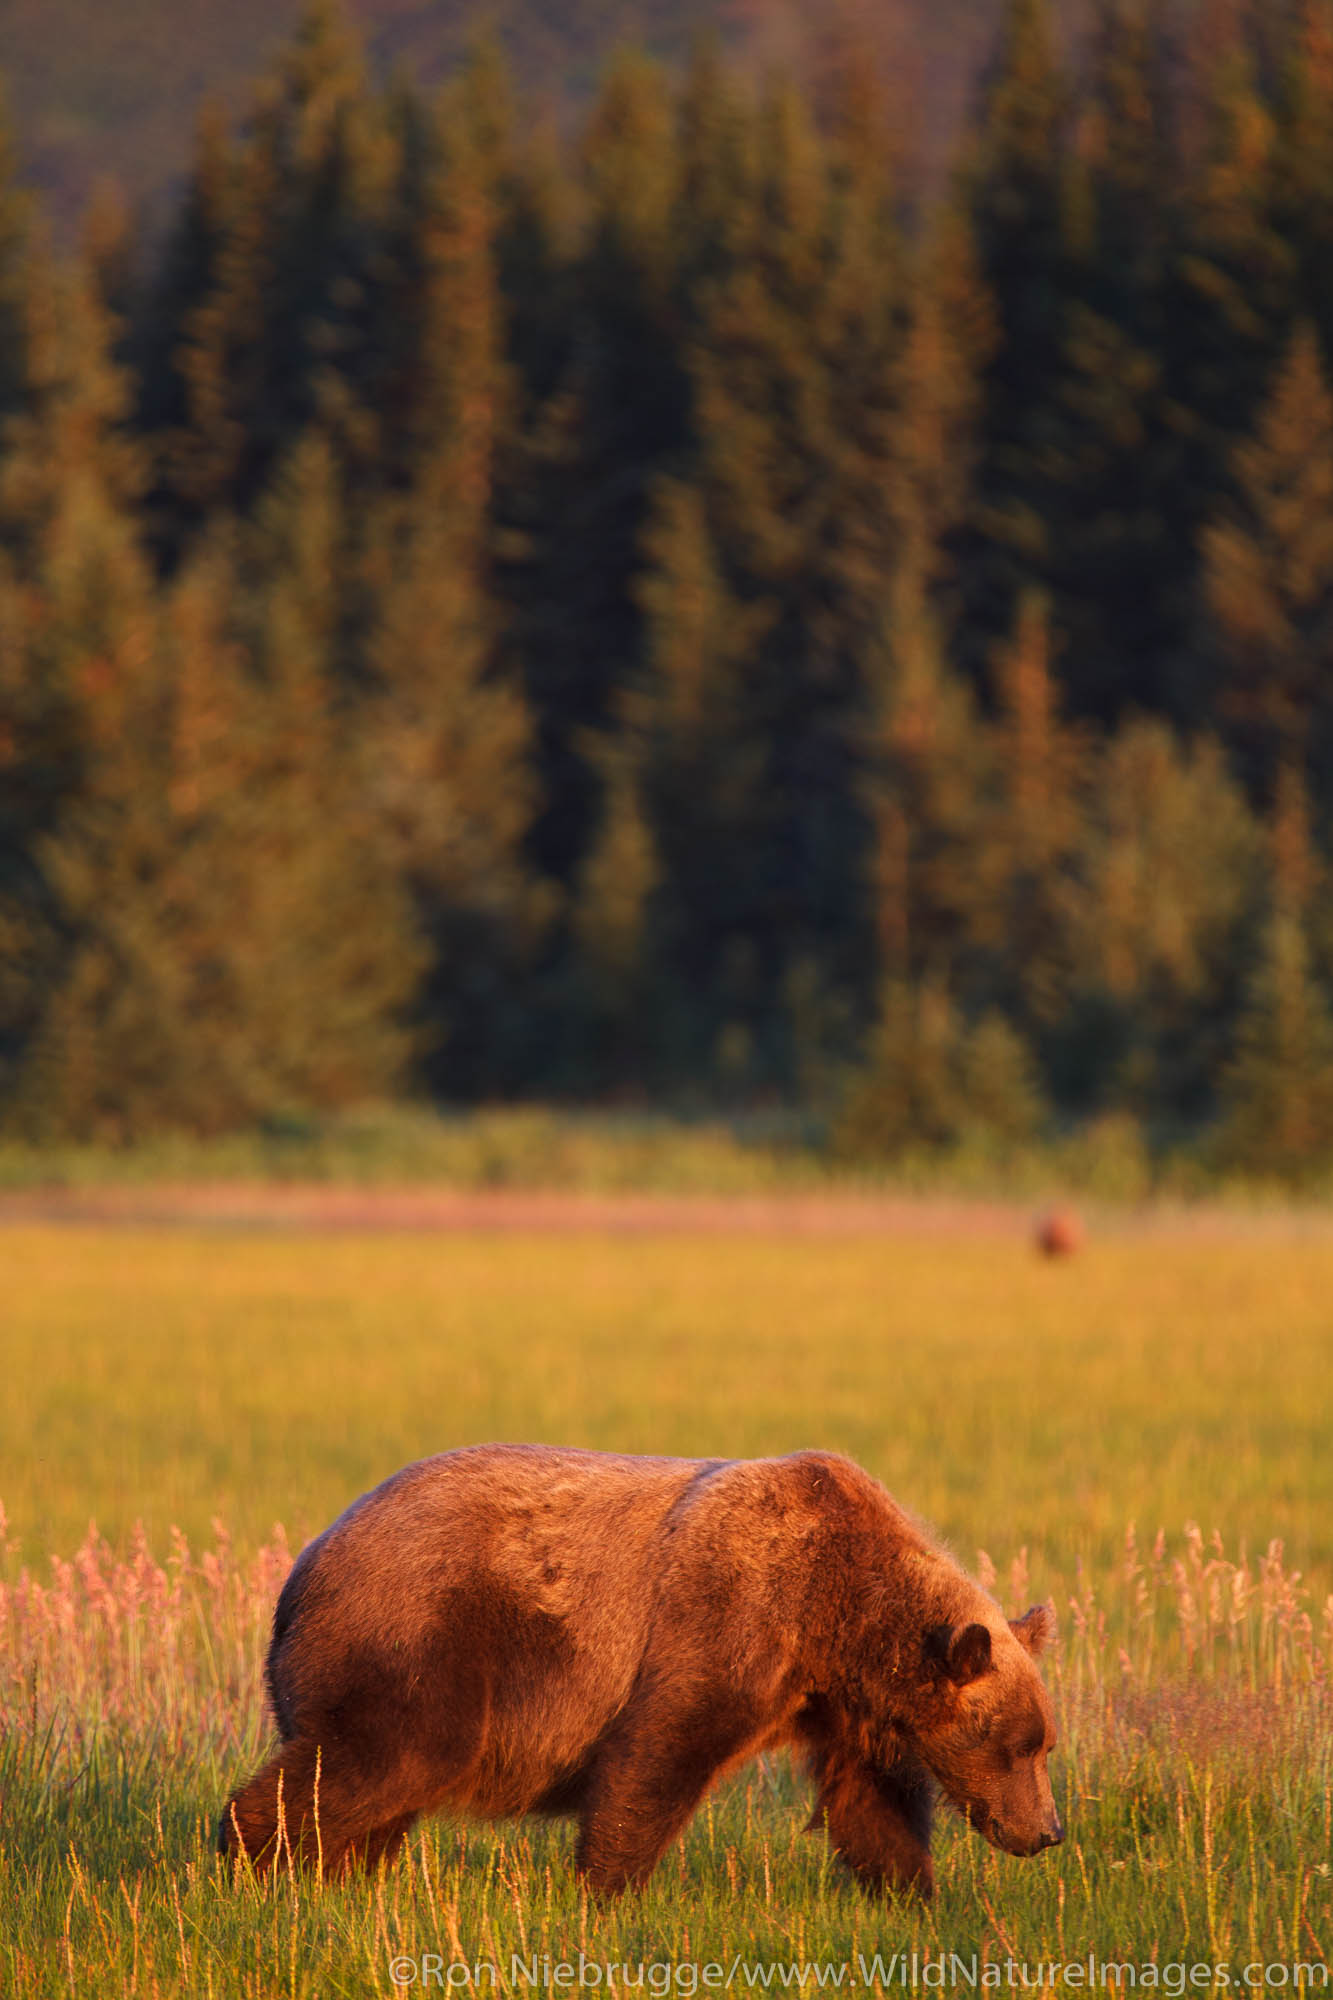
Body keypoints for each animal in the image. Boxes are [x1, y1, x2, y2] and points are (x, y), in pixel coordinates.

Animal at [220, 1448, 1056, 1896]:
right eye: (1020, 1744)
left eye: (1043, 1743)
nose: (1047, 1831)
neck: (838, 1608)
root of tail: (303, 1566)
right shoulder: (727, 1617)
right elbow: (657, 1756)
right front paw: (603, 1888)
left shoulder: (841, 1702)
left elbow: (872, 1804)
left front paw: (917, 1895)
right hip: (415, 1633)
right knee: (387, 1756)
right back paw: (247, 1857)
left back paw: (337, 1879)